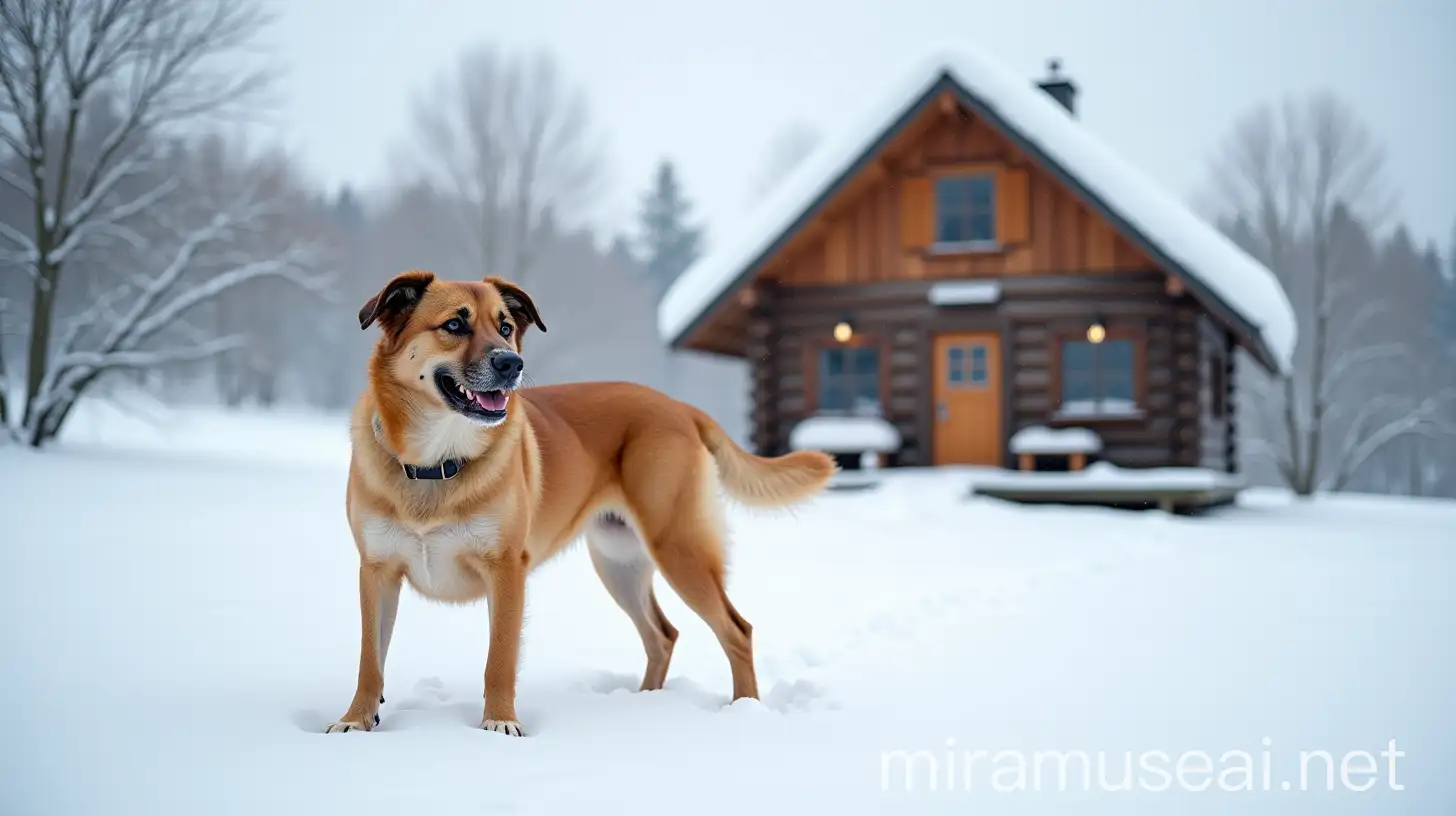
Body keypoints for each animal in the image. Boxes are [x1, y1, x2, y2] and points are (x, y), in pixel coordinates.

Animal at [324, 271, 838, 737]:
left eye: (505, 326)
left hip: (678, 548)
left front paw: (500, 723)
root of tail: (678, 407)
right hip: (619, 562)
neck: (436, 462)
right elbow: (370, 660)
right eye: (454, 324)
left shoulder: (505, 571)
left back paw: (745, 712)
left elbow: (499, 659)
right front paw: (355, 720)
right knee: (662, 635)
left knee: (736, 630)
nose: (511, 364)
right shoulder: (377, 572)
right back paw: (646, 703)